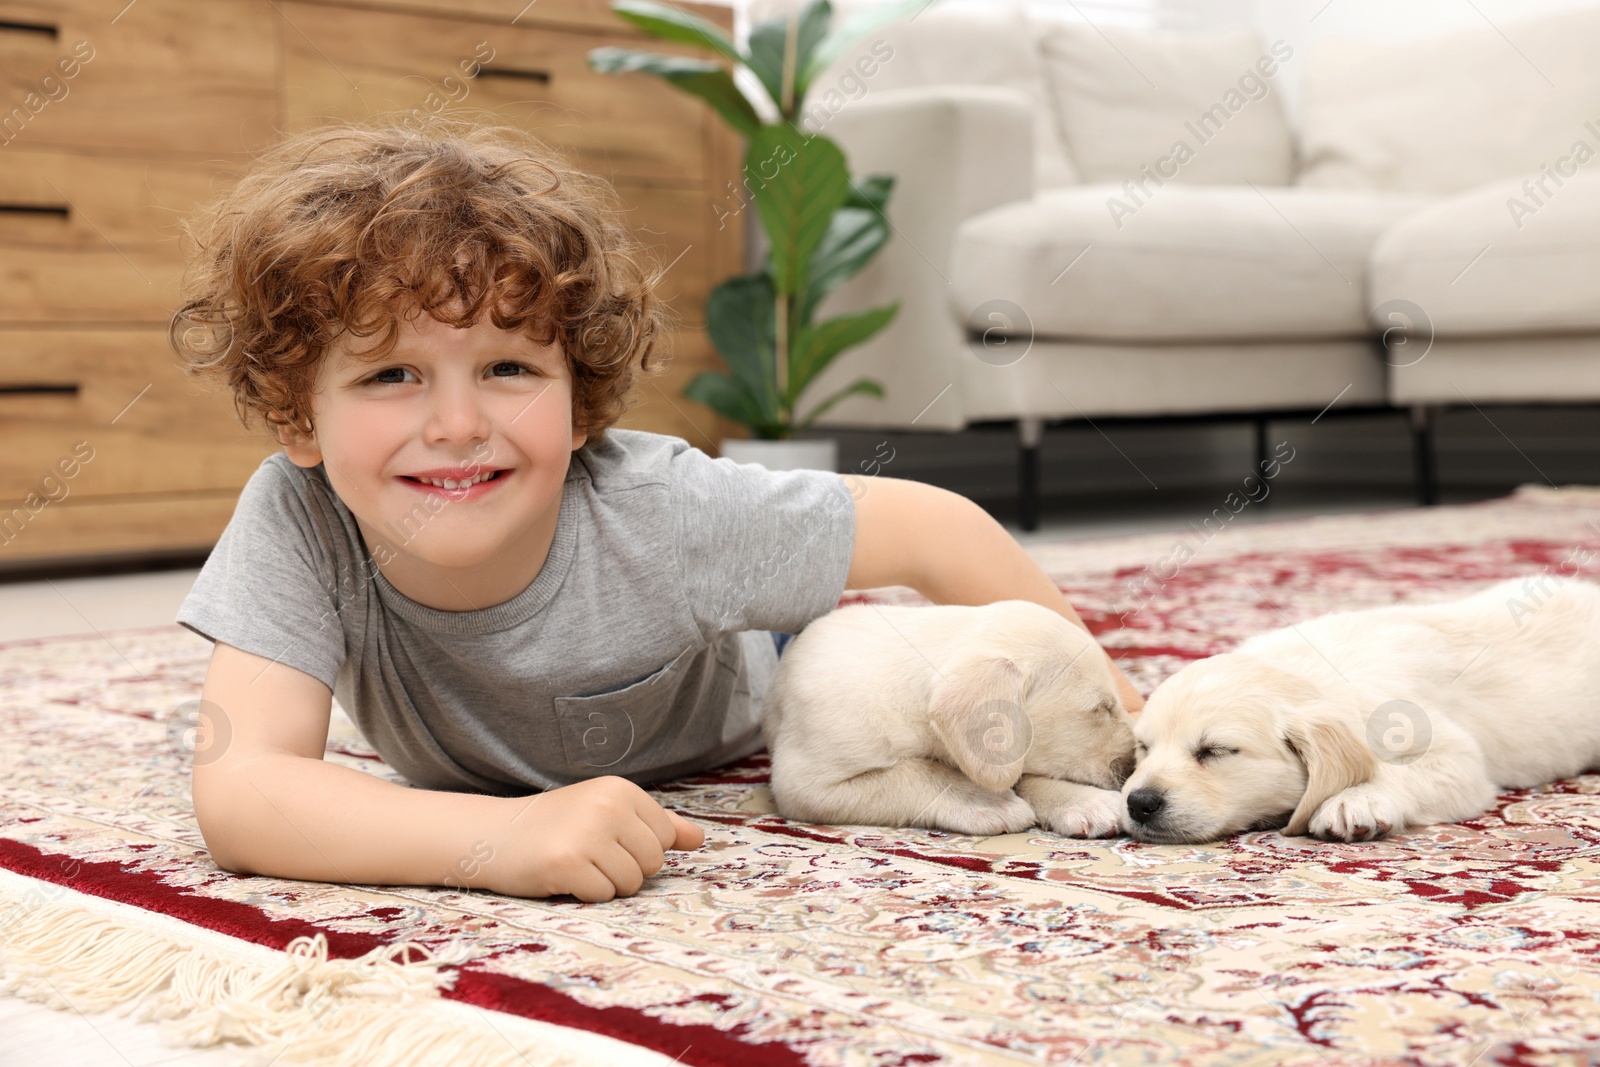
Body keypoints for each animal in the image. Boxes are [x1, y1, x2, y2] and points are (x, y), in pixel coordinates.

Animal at [761, 601, 1139, 831]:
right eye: (1101, 707)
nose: (1136, 764)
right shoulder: (807, 783)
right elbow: (918, 773)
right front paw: (986, 803)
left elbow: (1023, 775)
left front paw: (1084, 802)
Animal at [1120, 575, 1600, 844]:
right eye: (1143, 748)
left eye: (1215, 751)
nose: (1139, 803)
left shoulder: (1457, 758)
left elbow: (1403, 771)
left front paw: (1356, 802)